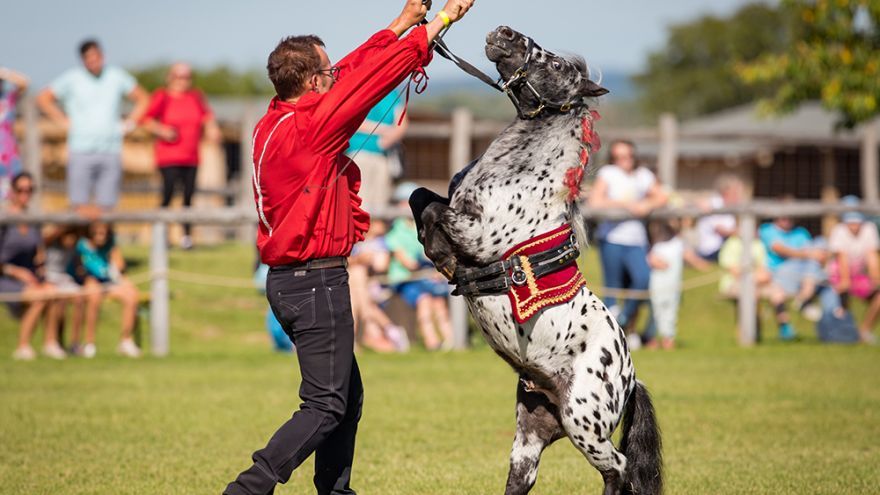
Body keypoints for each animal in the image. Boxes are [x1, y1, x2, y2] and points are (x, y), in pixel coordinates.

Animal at [410, 27, 664, 495]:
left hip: (584, 423)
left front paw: (444, 259)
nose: (504, 33)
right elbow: (421, 195)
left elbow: (434, 210)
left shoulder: (474, 230)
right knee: (523, 478)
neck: (524, 173)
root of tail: (630, 378)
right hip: (532, 431)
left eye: (558, 64)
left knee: (619, 469)